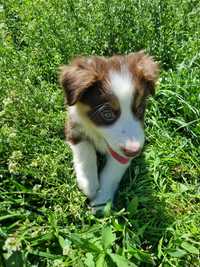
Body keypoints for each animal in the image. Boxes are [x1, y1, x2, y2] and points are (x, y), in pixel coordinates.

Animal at [58, 51, 159, 213]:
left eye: (140, 109)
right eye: (107, 114)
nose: (134, 151)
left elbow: (114, 171)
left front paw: (101, 201)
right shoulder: (73, 126)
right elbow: (86, 150)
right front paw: (89, 183)